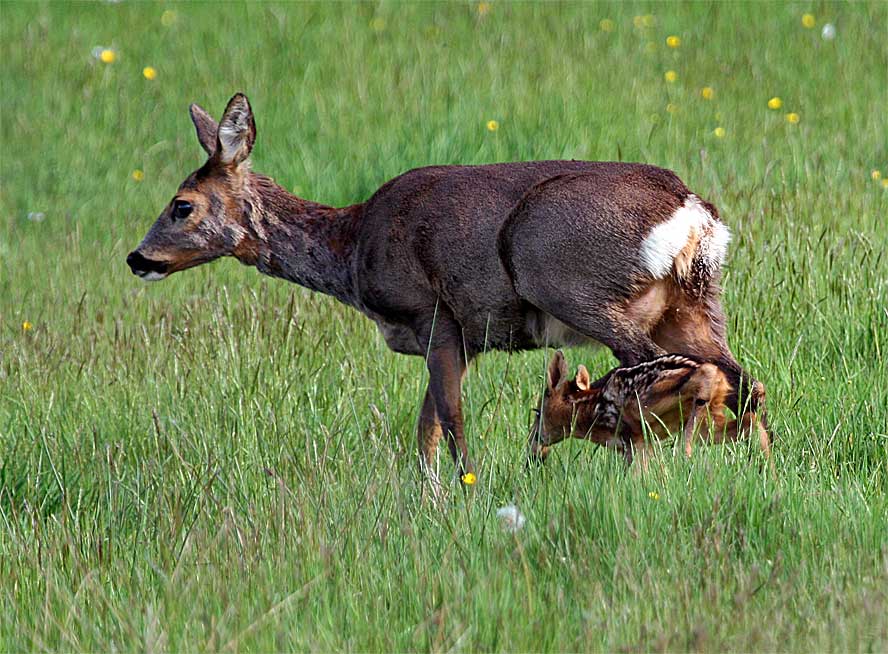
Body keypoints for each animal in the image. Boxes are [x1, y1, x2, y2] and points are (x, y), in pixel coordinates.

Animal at [528, 354, 772, 472]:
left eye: (537, 411)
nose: (534, 442)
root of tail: (722, 381)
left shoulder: (634, 439)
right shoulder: (635, 446)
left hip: (649, 401)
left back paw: (684, 453)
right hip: (709, 423)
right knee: (749, 421)